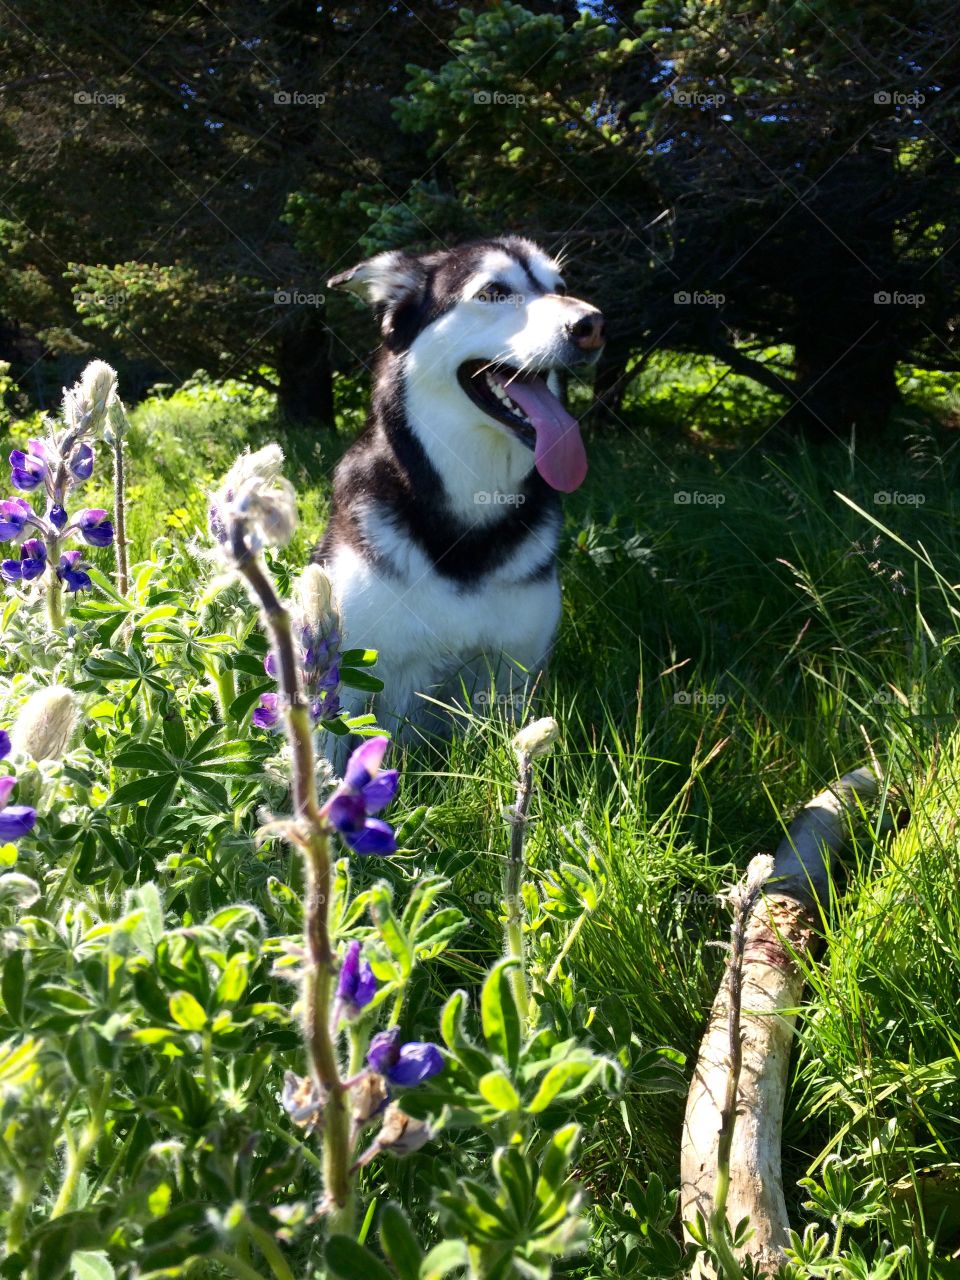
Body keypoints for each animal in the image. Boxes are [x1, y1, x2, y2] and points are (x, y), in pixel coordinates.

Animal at [320, 238, 604, 747]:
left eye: (559, 287)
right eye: (493, 292)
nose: (592, 325)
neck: (470, 509)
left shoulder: (513, 672)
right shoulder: (348, 674)